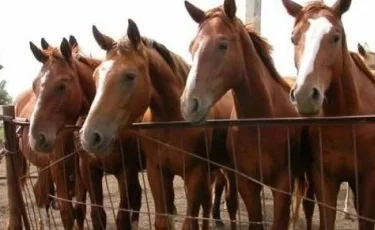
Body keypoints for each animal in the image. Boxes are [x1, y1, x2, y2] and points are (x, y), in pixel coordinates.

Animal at [26, 36, 145, 230]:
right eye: (34, 85)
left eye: (61, 85)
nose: (36, 138)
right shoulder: (88, 169)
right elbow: (97, 215)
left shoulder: (126, 170)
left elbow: (121, 218)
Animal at [80, 20, 238, 230]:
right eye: (96, 76)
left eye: (130, 76)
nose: (89, 136)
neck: (173, 122)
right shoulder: (157, 173)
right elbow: (163, 221)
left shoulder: (195, 173)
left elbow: (189, 222)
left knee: (230, 203)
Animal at [179, 0, 314, 229]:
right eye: (192, 47)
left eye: (223, 45)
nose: (189, 104)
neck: (262, 121)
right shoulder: (247, 184)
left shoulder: (282, 184)